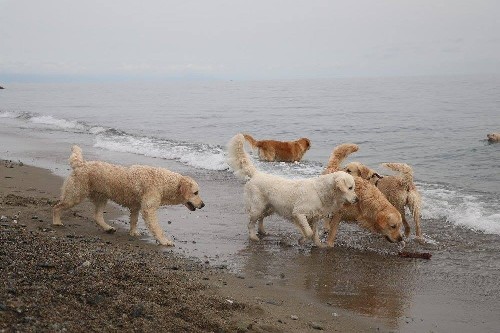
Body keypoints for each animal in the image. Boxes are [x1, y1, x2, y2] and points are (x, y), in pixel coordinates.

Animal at [52, 144, 205, 245]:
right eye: (196, 192)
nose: (203, 205)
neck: (163, 182)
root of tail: (81, 164)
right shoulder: (149, 209)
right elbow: (157, 228)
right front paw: (164, 241)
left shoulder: (136, 206)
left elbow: (134, 220)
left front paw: (133, 232)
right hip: (75, 195)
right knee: (57, 206)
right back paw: (57, 222)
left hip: (101, 197)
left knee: (97, 216)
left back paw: (108, 228)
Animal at [229, 133, 358, 246]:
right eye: (350, 187)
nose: (357, 199)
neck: (320, 191)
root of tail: (257, 174)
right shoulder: (299, 213)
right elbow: (309, 232)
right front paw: (302, 240)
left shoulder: (314, 218)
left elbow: (314, 234)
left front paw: (319, 246)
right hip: (257, 207)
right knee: (250, 224)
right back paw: (253, 237)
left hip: (269, 207)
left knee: (261, 219)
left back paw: (262, 231)